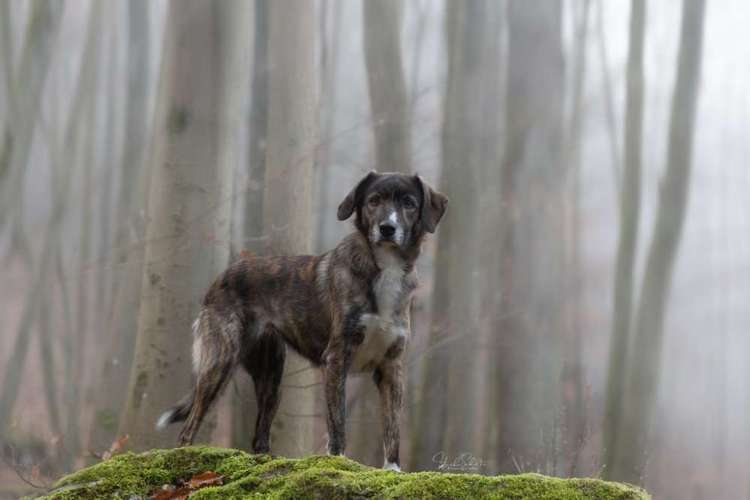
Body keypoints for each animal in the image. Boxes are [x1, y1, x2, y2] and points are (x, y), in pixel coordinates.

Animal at [153, 171, 446, 468]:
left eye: (409, 203)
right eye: (374, 201)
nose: (387, 228)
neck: (385, 267)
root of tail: (221, 277)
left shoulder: (391, 367)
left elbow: (392, 427)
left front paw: (393, 469)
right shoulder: (336, 359)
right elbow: (337, 422)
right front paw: (338, 462)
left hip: (271, 377)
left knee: (259, 436)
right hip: (220, 363)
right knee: (188, 427)